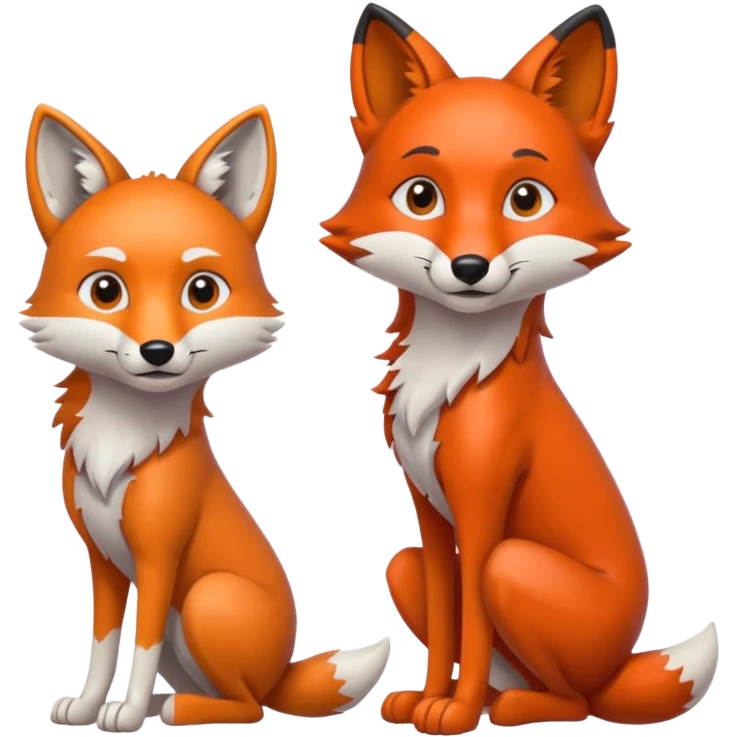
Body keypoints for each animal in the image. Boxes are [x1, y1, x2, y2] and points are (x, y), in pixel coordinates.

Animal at [20, 103, 390, 733]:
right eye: (105, 290)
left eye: (202, 291)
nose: (158, 351)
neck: (123, 445)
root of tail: (280, 671)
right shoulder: (104, 561)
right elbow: (103, 645)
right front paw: (88, 707)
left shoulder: (159, 557)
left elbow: (137, 645)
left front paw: (126, 713)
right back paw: (167, 703)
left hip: (205, 600)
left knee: (248, 707)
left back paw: (174, 709)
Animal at [319, 3, 720, 734]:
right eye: (421, 197)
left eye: (525, 199)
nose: (470, 266)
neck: (451, 373)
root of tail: (616, 666)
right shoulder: (428, 512)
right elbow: (448, 620)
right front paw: (430, 697)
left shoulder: (483, 505)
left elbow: (473, 625)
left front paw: (455, 711)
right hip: (404, 566)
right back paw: (491, 698)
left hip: (514, 568)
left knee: (575, 701)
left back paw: (511, 706)